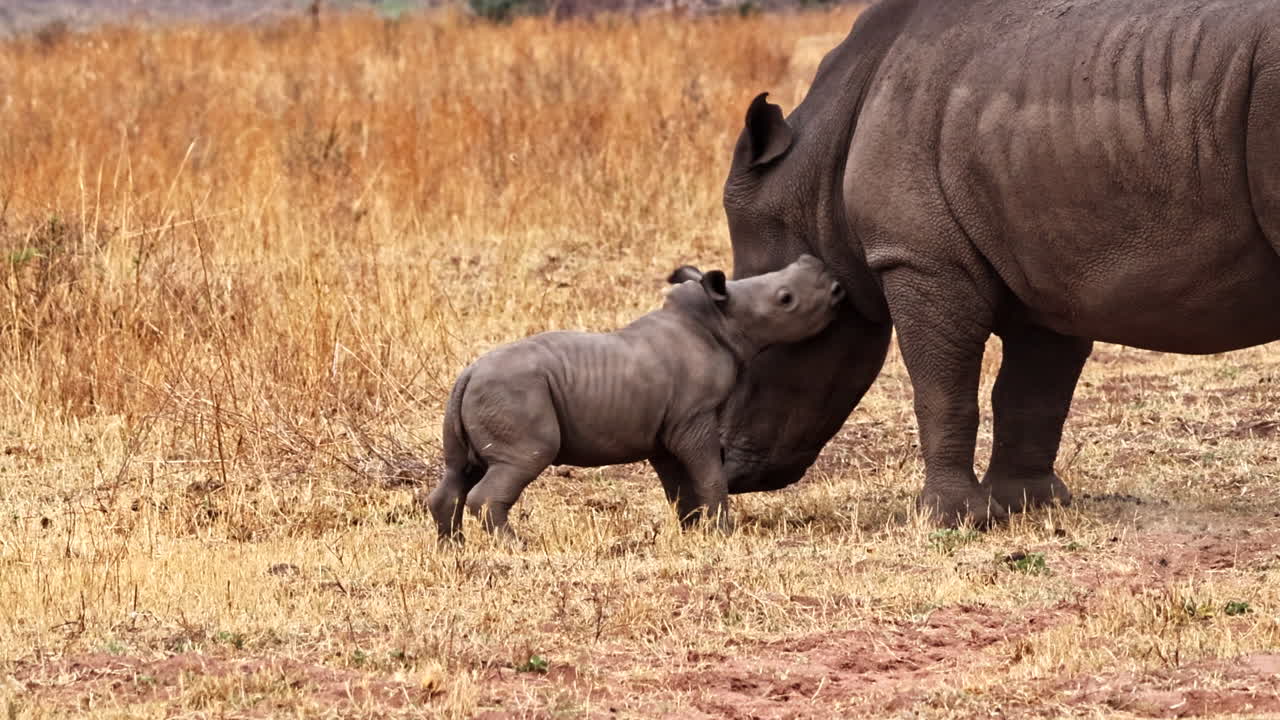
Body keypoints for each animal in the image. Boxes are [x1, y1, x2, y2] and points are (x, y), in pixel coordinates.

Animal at [423, 255, 844, 542]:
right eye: (786, 299)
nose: (827, 275)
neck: (720, 322)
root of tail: (467, 375)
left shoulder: (667, 429)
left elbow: (679, 484)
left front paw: (693, 530)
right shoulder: (693, 416)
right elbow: (710, 472)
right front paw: (722, 532)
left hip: (477, 396)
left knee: (459, 470)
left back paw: (452, 548)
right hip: (514, 396)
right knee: (524, 458)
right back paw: (516, 546)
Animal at [708, 0, 1280, 527]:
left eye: (759, 347)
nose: (722, 467)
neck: (814, 185)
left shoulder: (919, 260)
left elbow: (942, 387)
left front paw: (951, 519)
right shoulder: (1049, 266)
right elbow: (1032, 390)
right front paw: (1028, 505)